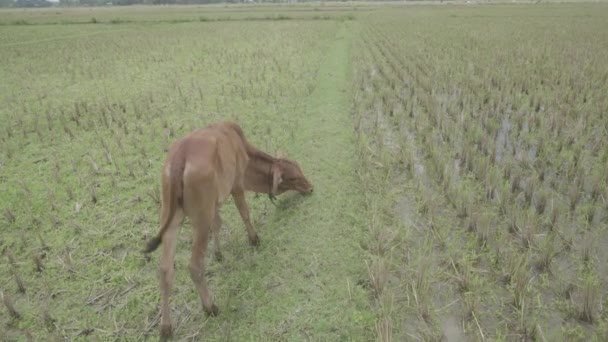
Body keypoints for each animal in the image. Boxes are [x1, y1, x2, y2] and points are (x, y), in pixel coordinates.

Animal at [143, 121, 314, 340]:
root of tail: (180, 156)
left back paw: (166, 327)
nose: (310, 188)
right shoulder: (237, 184)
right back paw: (210, 307)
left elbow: (218, 223)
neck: (243, 149)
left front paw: (218, 253)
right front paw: (254, 239)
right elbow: (244, 213)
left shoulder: (215, 203)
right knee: (195, 266)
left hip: (171, 218)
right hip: (201, 219)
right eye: (292, 178)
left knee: (165, 271)